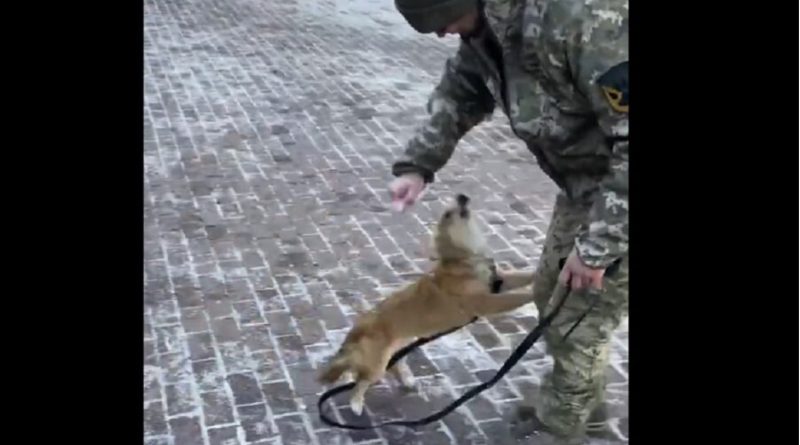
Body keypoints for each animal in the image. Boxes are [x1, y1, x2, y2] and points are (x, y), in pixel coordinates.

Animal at [316, 193, 536, 414]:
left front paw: (538, 275)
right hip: (376, 362)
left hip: (396, 350)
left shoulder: (500, 282)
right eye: (448, 214)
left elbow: (523, 276)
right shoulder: (485, 302)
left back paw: (406, 381)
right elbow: (516, 297)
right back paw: (356, 403)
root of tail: (356, 329)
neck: (466, 259)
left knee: (393, 368)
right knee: (361, 381)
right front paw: (537, 293)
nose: (462, 196)